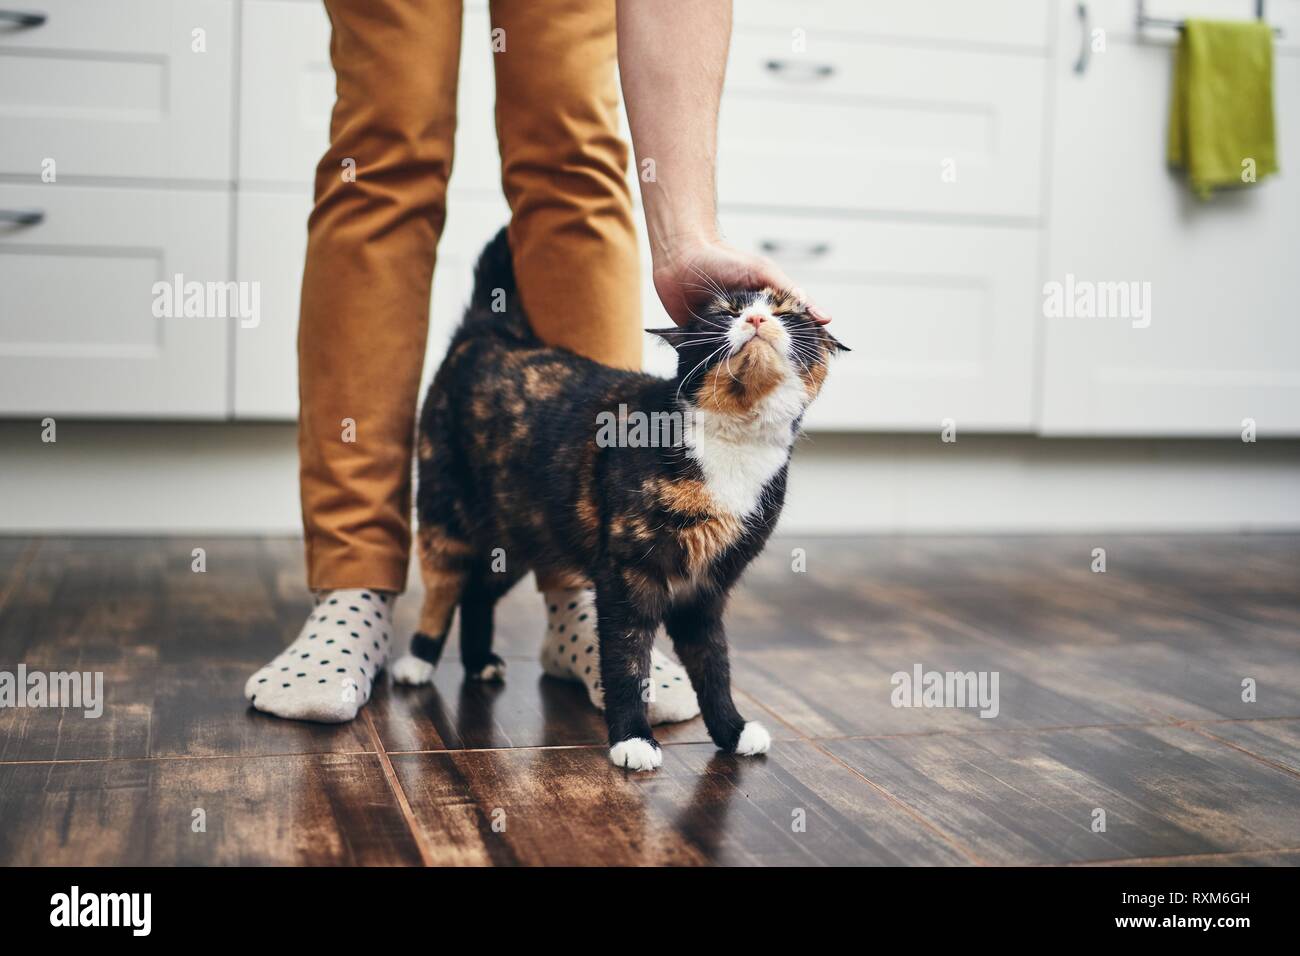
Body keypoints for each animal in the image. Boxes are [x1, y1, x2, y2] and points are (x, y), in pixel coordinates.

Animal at [390, 230, 847, 770]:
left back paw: (479, 661)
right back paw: (418, 660)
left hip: (524, 536)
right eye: (726, 311)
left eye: (786, 311)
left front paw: (732, 730)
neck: (733, 444)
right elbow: (627, 661)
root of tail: (490, 332)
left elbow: (714, 665)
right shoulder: (628, 575)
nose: (756, 319)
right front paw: (632, 738)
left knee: (479, 591)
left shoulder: (707, 589)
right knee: (444, 588)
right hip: (446, 515)